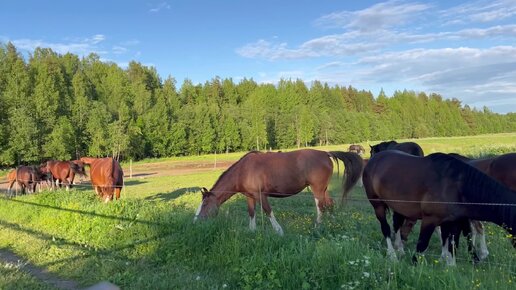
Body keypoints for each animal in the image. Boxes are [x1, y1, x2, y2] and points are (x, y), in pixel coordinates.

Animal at [194, 150, 362, 236]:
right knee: (329, 204)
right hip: (324, 189)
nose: (196, 222)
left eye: (205, 204)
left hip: (317, 189)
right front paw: (252, 230)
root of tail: (326, 153)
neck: (244, 170)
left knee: (321, 207)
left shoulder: (261, 195)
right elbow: (251, 212)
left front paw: (279, 231)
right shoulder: (250, 196)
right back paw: (334, 224)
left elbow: (268, 211)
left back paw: (316, 228)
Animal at [360, 152, 516, 266]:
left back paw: (400, 250)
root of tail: (373, 159)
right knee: (386, 228)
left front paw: (449, 265)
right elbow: (423, 244)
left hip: (398, 206)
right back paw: (392, 255)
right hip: (378, 205)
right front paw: (414, 265)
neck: (456, 185)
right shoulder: (430, 219)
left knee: (397, 225)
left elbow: (451, 243)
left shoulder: (453, 221)